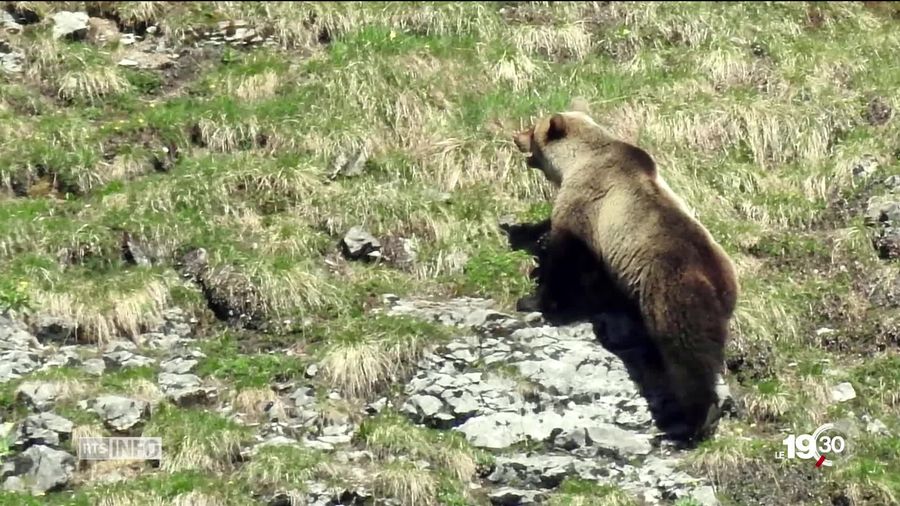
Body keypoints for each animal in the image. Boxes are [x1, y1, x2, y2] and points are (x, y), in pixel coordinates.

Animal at [512, 110, 740, 442]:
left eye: (533, 128)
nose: (515, 136)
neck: (577, 161)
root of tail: (719, 283)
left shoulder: (586, 206)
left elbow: (565, 260)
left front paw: (534, 298)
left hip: (671, 294)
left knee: (688, 357)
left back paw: (693, 420)